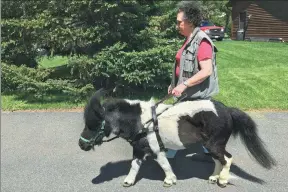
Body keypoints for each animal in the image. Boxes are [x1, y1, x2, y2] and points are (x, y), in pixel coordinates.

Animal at [77, 90, 276, 188]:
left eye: (94, 124)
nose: (81, 144)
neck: (142, 122)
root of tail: (226, 110)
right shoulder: (140, 149)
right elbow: (135, 165)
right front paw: (128, 181)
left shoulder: (155, 149)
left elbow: (164, 164)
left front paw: (169, 180)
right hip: (211, 145)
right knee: (218, 160)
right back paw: (214, 177)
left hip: (214, 144)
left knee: (227, 159)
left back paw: (223, 180)